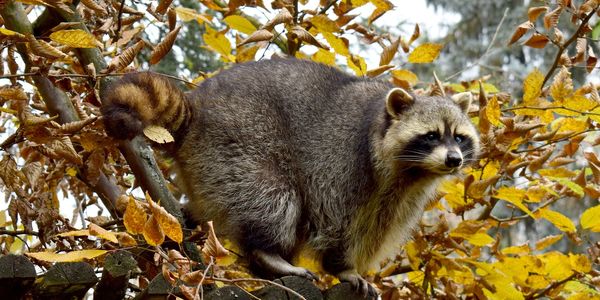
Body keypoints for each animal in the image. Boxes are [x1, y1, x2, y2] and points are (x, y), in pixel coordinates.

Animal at [102, 58, 478, 298]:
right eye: (431, 136)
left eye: (459, 137)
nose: (454, 160)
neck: (411, 171)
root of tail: (197, 110)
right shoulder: (343, 161)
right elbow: (337, 220)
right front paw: (343, 266)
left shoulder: (402, 195)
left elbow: (378, 225)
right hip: (239, 142)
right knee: (272, 197)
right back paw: (269, 252)